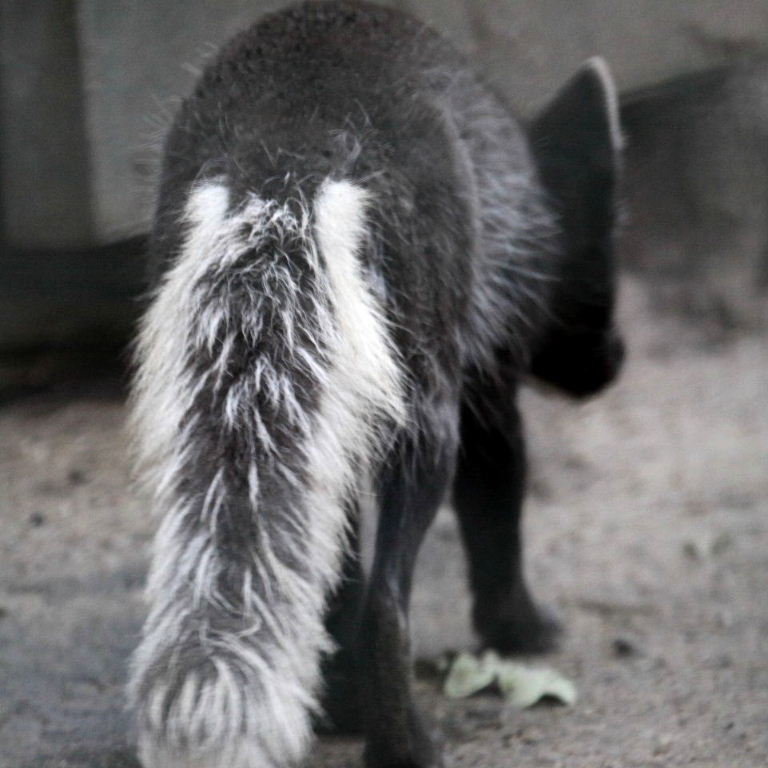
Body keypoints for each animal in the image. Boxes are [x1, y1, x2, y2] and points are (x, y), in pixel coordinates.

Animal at [127, 2, 624, 767]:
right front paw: (522, 628)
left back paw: (338, 706)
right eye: (609, 249)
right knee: (385, 602)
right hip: (423, 412)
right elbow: (497, 508)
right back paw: (404, 744)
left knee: (334, 579)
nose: (615, 361)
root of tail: (288, 155)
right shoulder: (486, 384)